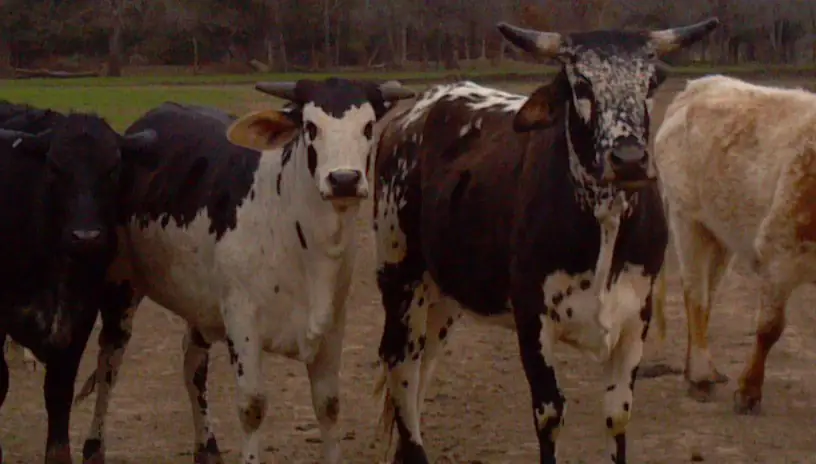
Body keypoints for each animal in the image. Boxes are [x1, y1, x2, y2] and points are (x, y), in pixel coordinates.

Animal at [72, 79, 415, 464]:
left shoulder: (332, 325)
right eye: (310, 127)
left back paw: (206, 446)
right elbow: (253, 407)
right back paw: (93, 446)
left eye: (369, 126)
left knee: (193, 366)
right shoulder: (242, 321)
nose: (343, 179)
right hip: (121, 288)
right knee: (109, 364)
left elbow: (329, 406)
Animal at [371, 18, 719, 464]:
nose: (629, 159)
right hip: (400, 275)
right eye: (581, 83)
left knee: (421, 365)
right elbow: (550, 413)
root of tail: (415, 111)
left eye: (650, 80)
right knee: (400, 366)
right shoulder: (532, 318)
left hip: (442, 293)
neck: (604, 220)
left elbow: (618, 415)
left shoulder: (634, 318)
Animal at [654, 74, 816, 414]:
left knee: (708, 295)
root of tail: (696, 86)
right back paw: (700, 376)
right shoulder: (781, 253)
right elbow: (769, 328)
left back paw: (697, 370)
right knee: (695, 294)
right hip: (687, 218)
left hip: (720, 233)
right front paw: (749, 390)